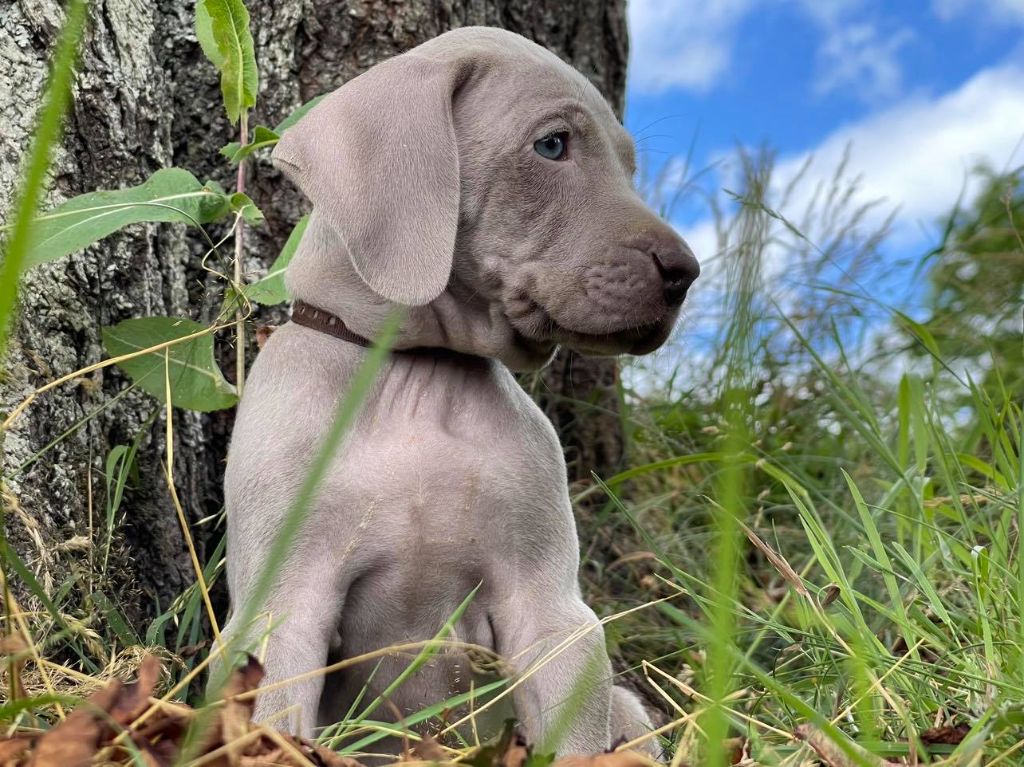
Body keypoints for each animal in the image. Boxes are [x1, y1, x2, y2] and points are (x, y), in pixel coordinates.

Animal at [220, 25, 700, 761]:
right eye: (552, 145)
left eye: (629, 166)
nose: (685, 272)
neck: (423, 373)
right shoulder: (284, 604)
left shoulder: (548, 607)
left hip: (623, 703)